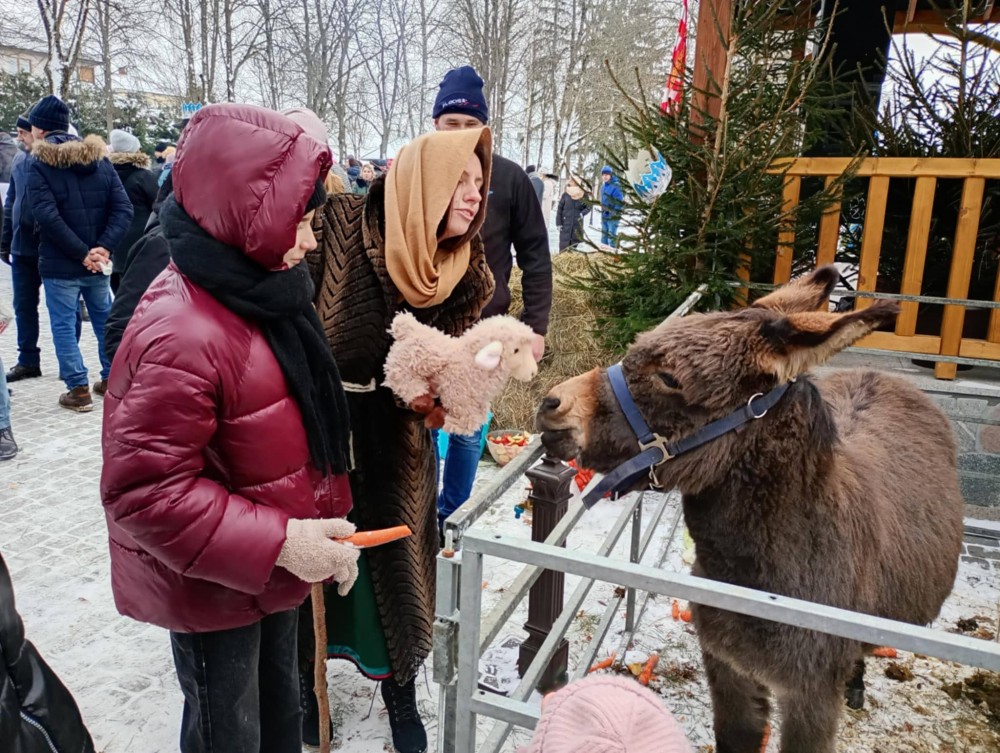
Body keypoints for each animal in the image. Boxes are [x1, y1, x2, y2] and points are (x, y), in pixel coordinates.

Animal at [535, 266, 964, 753]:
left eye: (670, 378)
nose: (552, 404)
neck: (761, 587)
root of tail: (883, 374)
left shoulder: (812, 695)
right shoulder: (727, 666)